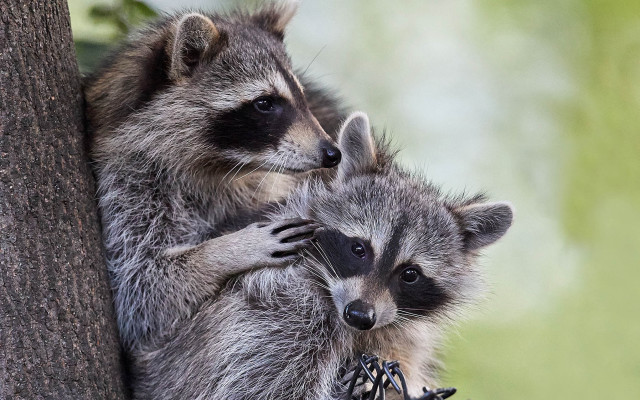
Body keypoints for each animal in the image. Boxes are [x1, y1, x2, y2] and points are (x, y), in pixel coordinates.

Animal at [84, 3, 345, 352]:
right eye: (265, 103)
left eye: (301, 97)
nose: (332, 154)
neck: (220, 165)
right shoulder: (125, 183)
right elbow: (140, 288)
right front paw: (230, 250)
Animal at [133, 112, 514, 400]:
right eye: (359, 249)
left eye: (410, 274)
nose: (360, 314)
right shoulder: (285, 308)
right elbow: (264, 385)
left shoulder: (395, 330)